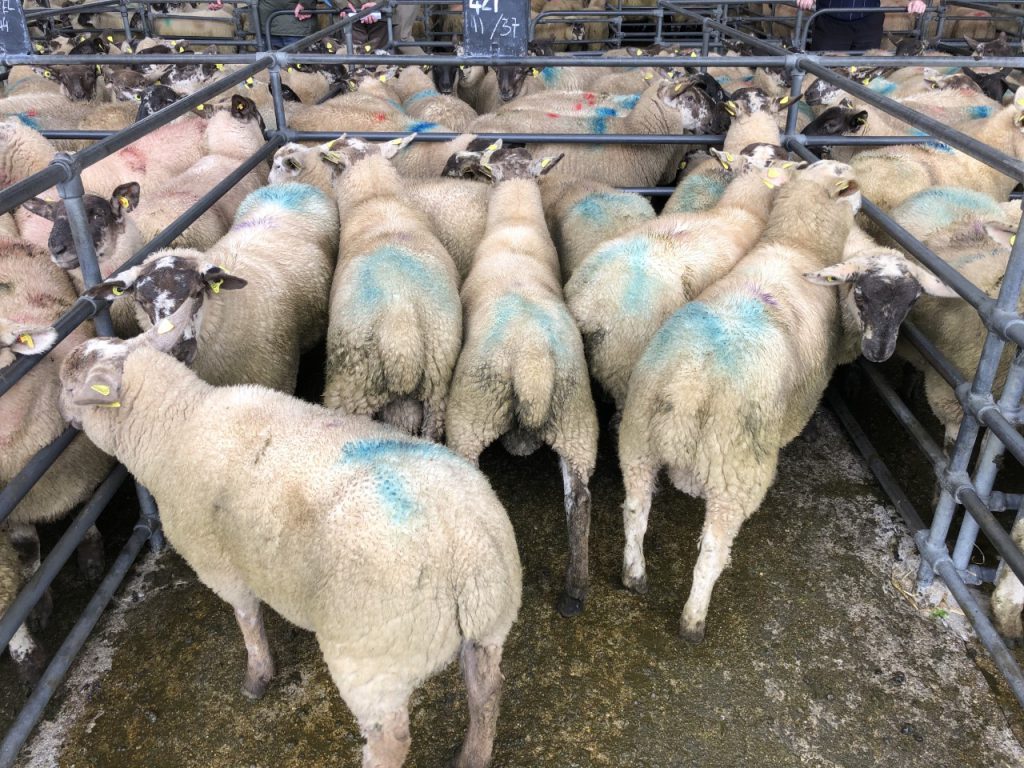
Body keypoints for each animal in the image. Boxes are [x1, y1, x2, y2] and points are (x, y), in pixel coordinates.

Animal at [56, 298, 522, 768]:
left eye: (71, 384)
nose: (62, 418)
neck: (176, 427)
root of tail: (466, 549)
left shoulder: (221, 565)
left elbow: (248, 620)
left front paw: (257, 677)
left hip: (373, 661)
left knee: (392, 741)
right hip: (490, 626)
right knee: (488, 691)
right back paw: (473, 756)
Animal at [444, 145, 598, 617]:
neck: (515, 225)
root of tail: (531, 369)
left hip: (471, 412)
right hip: (576, 420)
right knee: (580, 502)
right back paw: (574, 591)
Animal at [618, 161, 954, 642]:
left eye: (912, 302)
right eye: (861, 294)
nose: (880, 353)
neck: (796, 246)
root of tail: (686, 386)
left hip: (638, 440)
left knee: (635, 510)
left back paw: (634, 575)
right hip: (737, 469)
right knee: (712, 550)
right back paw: (694, 620)